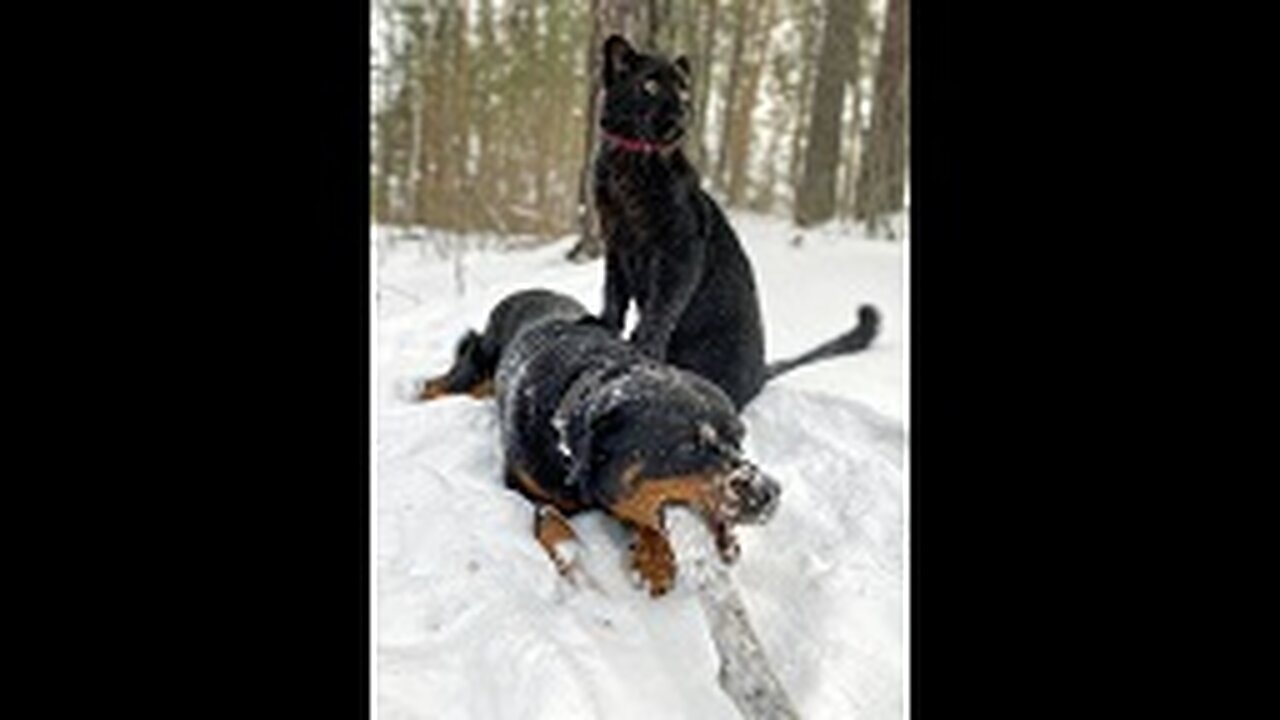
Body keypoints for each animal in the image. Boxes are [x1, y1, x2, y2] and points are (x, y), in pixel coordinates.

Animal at [596, 35, 880, 409]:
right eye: (651, 85)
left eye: (683, 90)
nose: (683, 111)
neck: (628, 163)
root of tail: (761, 370)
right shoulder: (616, 243)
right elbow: (613, 293)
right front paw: (602, 326)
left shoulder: (680, 249)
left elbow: (663, 306)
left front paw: (644, 346)